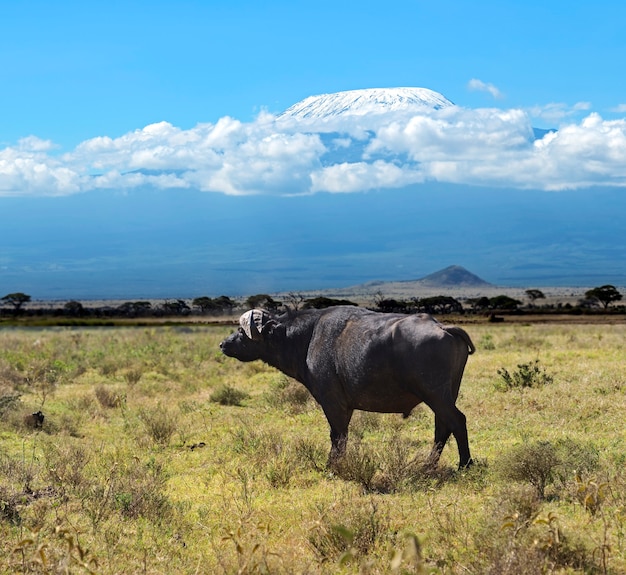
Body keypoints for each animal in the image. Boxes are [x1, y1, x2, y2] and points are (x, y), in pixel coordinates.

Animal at [219, 306, 472, 468]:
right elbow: (342, 436)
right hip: (446, 395)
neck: (306, 338)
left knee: (456, 421)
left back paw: (465, 464)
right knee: (442, 426)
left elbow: (337, 436)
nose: (223, 344)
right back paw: (428, 464)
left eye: (241, 331)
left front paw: (332, 466)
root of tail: (443, 328)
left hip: (434, 394)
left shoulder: (333, 402)